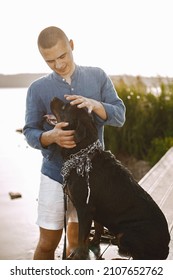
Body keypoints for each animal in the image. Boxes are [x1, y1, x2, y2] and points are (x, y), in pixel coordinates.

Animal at [50, 97, 170, 260]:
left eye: (65, 107)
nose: (53, 98)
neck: (82, 154)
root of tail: (166, 247)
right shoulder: (95, 209)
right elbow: (97, 228)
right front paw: (94, 242)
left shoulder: (85, 208)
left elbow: (82, 237)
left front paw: (78, 255)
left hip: (129, 233)